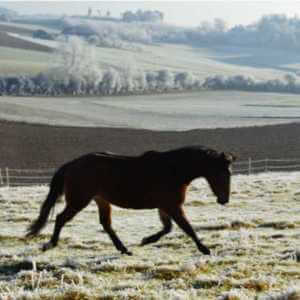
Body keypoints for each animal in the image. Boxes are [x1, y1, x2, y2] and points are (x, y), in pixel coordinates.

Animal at [26, 145, 237, 255]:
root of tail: (71, 165)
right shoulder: (173, 206)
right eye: (222, 173)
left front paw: (146, 240)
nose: (224, 200)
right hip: (80, 200)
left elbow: (167, 228)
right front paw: (205, 249)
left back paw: (124, 249)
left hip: (101, 200)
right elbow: (187, 228)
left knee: (106, 224)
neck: (174, 170)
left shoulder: (165, 206)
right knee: (61, 218)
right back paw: (50, 244)